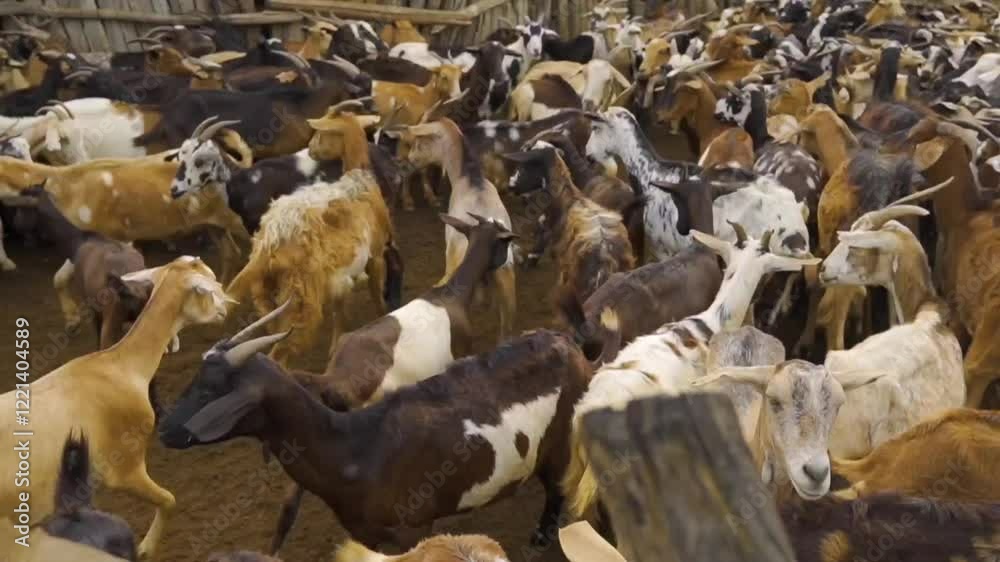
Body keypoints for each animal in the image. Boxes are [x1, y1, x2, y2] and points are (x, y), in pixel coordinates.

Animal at [0, 256, 231, 560]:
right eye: (207, 285)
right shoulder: (125, 469)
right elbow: (169, 500)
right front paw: (145, 548)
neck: (121, 366)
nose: (226, 309)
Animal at [159, 322, 593, 550]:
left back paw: (543, 535)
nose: (164, 429)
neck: (356, 450)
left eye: (209, 391)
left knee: (556, 487)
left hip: (562, 442)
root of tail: (566, 342)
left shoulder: (412, 530)